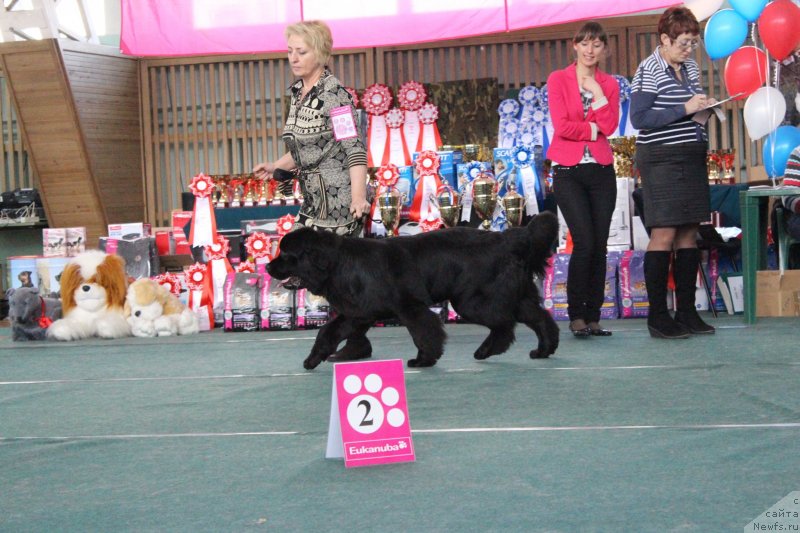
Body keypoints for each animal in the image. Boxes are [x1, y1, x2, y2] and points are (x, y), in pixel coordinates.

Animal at [266, 210, 560, 368]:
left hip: (471, 300)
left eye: (286, 255)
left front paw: (423, 360)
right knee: (540, 319)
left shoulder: (410, 306)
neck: (337, 263)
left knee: (504, 324)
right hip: (518, 296)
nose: (268, 267)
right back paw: (544, 349)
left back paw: (486, 351)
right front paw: (313, 359)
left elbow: (424, 332)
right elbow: (327, 332)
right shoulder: (357, 313)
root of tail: (507, 238)